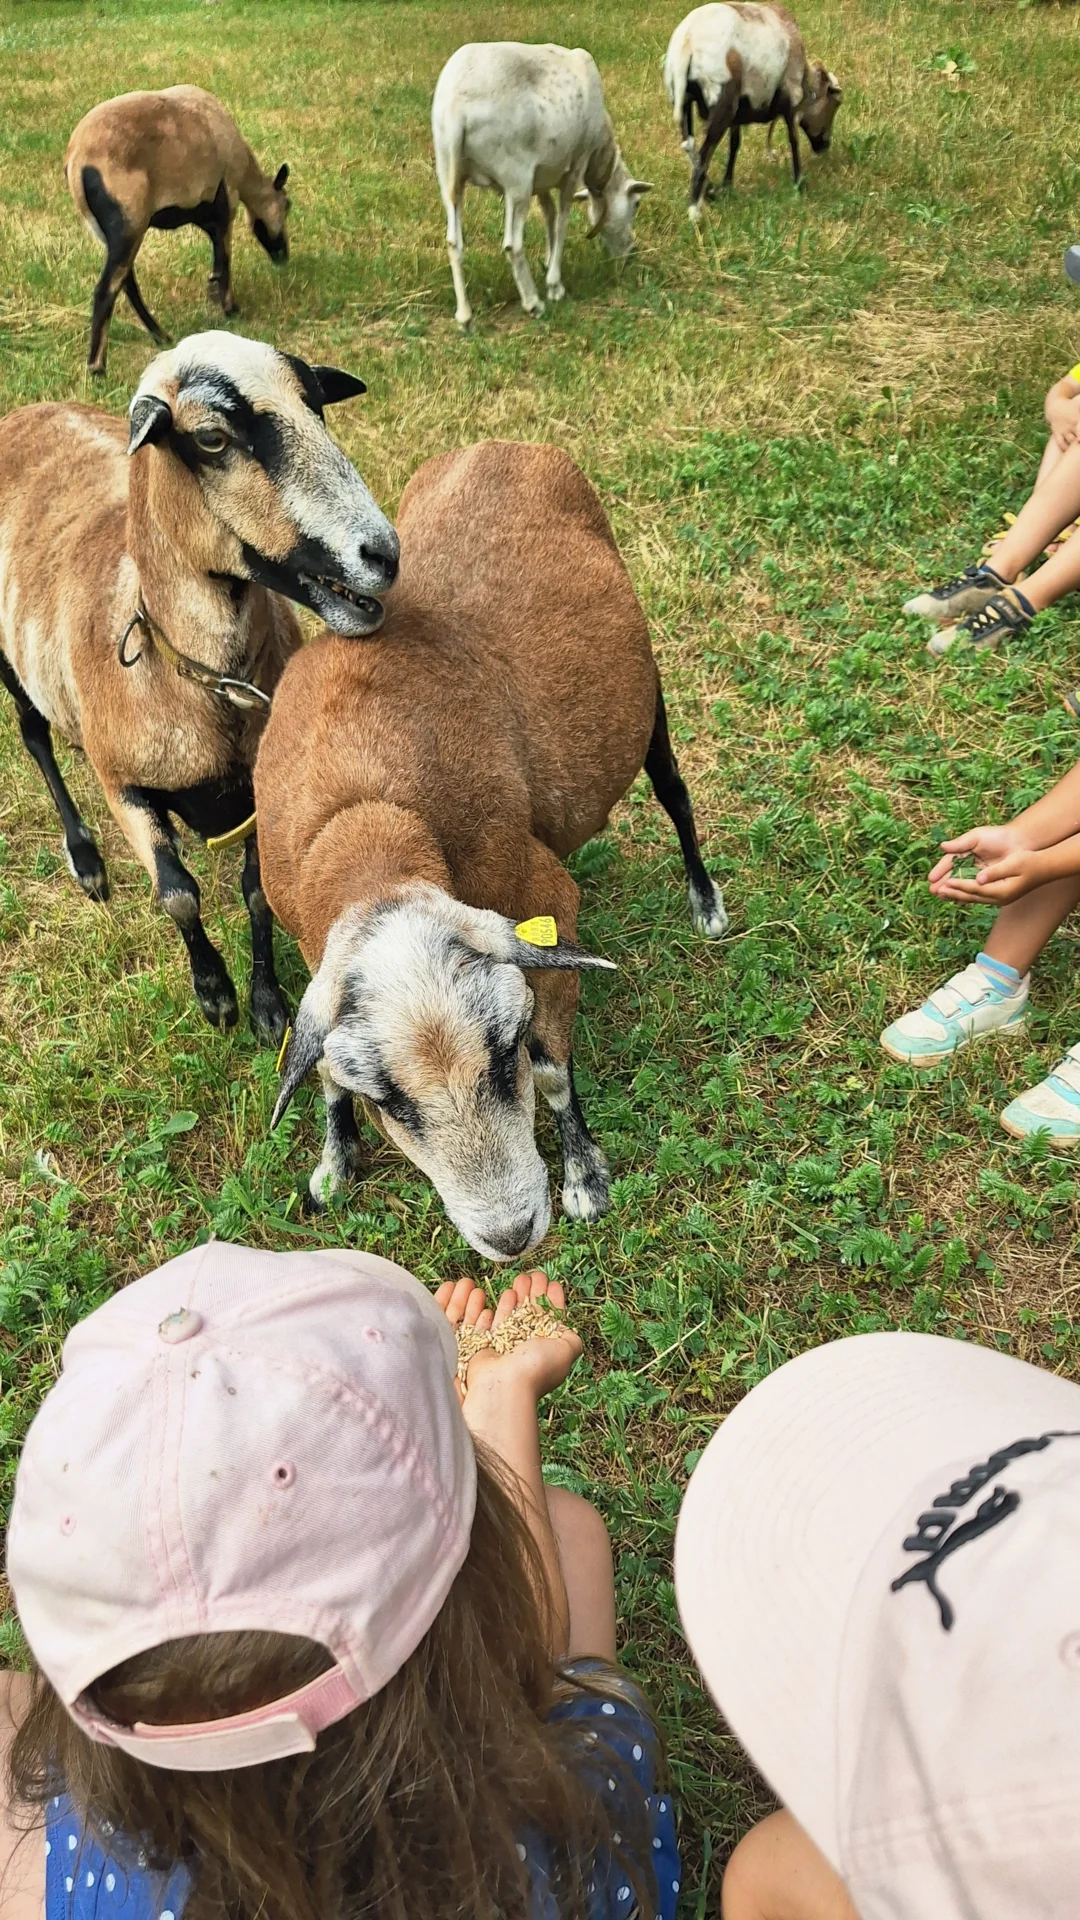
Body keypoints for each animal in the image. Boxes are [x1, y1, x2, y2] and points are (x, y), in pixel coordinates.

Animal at [0, 330, 399, 1042]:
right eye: (211, 439)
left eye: (318, 406)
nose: (382, 555)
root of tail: (25, 412)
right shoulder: (123, 786)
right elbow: (179, 895)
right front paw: (216, 995)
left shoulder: (262, 793)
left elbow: (259, 893)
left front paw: (267, 1006)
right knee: (35, 737)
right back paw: (86, 860)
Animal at [65, 86, 291, 376]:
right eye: (287, 205)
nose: (283, 255)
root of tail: (77, 161)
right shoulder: (224, 201)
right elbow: (224, 255)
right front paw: (231, 308)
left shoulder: (203, 210)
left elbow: (217, 254)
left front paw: (215, 293)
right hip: (127, 224)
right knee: (108, 288)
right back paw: (97, 367)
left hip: (112, 230)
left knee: (126, 282)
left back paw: (160, 335)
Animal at [256, 439, 726, 1263]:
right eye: (389, 1102)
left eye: (503, 1053)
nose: (510, 1236)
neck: (366, 822)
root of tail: (503, 446)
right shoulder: (317, 947)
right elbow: (325, 1070)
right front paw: (336, 1160)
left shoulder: (542, 902)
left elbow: (553, 1073)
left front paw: (584, 1177)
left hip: (650, 703)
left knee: (675, 794)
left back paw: (706, 904)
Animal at [432, 42, 652, 327]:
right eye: (636, 203)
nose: (631, 253)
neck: (600, 161)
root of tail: (457, 108)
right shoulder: (576, 164)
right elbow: (562, 219)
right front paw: (555, 285)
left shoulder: (542, 178)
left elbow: (549, 215)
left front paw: (549, 263)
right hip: (516, 178)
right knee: (512, 245)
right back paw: (533, 303)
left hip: (448, 171)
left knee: (453, 242)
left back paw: (465, 316)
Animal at [663, 4, 841, 216]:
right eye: (834, 104)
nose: (825, 146)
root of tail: (687, 41)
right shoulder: (790, 97)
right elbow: (794, 140)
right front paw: (799, 183)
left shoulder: (738, 113)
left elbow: (734, 144)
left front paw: (727, 185)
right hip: (722, 101)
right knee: (703, 154)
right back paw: (695, 211)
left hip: (685, 100)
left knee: (689, 147)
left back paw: (709, 191)